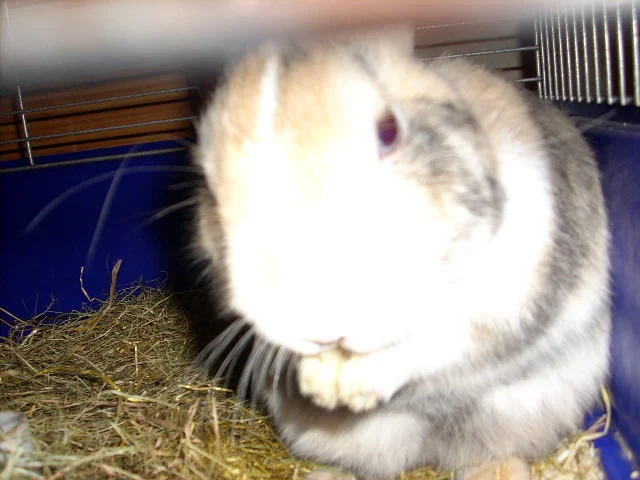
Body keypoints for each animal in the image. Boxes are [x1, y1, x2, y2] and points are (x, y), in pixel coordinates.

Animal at [193, 25, 611, 480]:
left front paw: (357, 383)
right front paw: (320, 384)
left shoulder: (502, 301)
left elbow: (434, 345)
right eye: (210, 186)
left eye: (389, 131)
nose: (321, 324)